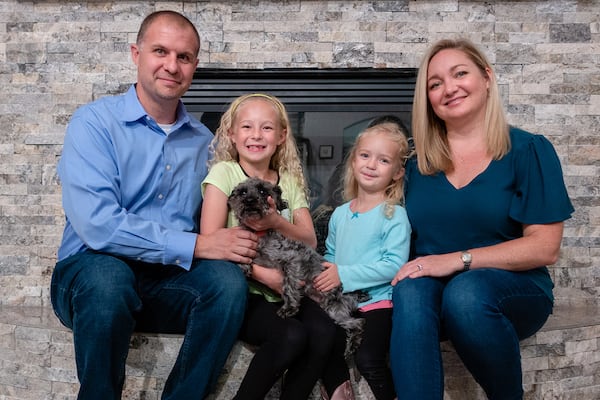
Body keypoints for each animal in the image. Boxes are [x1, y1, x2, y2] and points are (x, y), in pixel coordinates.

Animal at [227, 178, 364, 356]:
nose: (249, 201)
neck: (261, 237)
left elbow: (288, 286)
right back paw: (352, 345)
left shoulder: (292, 260)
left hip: (334, 306)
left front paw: (289, 308)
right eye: (243, 192)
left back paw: (353, 345)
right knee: (357, 323)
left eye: (263, 191)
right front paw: (244, 266)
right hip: (333, 310)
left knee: (358, 322)